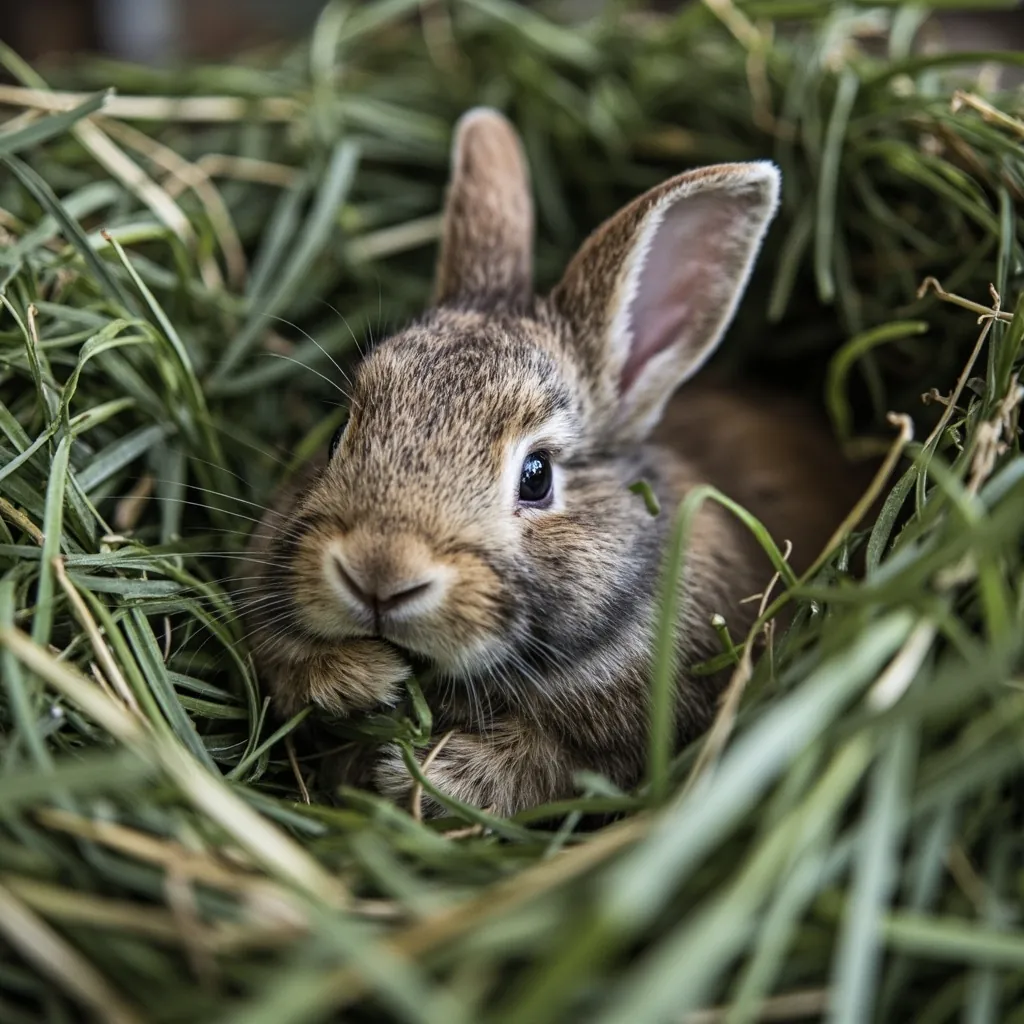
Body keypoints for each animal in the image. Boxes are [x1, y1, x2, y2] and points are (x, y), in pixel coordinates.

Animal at [241, 108, 869, 818]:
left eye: (536, 475)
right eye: (340, 434)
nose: (380, 574)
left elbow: (542, 770)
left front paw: (418, 775)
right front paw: (360, 676)